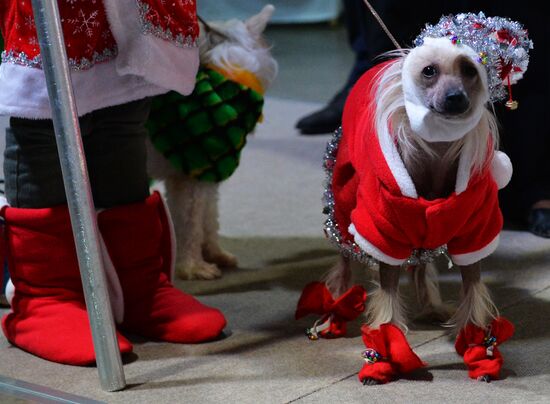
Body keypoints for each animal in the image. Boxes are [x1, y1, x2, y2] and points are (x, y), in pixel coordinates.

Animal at [298, 12, 536, 384]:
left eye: (470, 69)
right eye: (429, 71)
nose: (455, 98)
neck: (436, 152)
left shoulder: (474, 234)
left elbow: (474, 290)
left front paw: (480, 349)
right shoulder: (384, 233)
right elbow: (387, 300)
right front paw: (382, 355)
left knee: (422, 263)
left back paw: (432, 306)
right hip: (342, 205)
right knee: (344, 258)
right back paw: (334, 307)